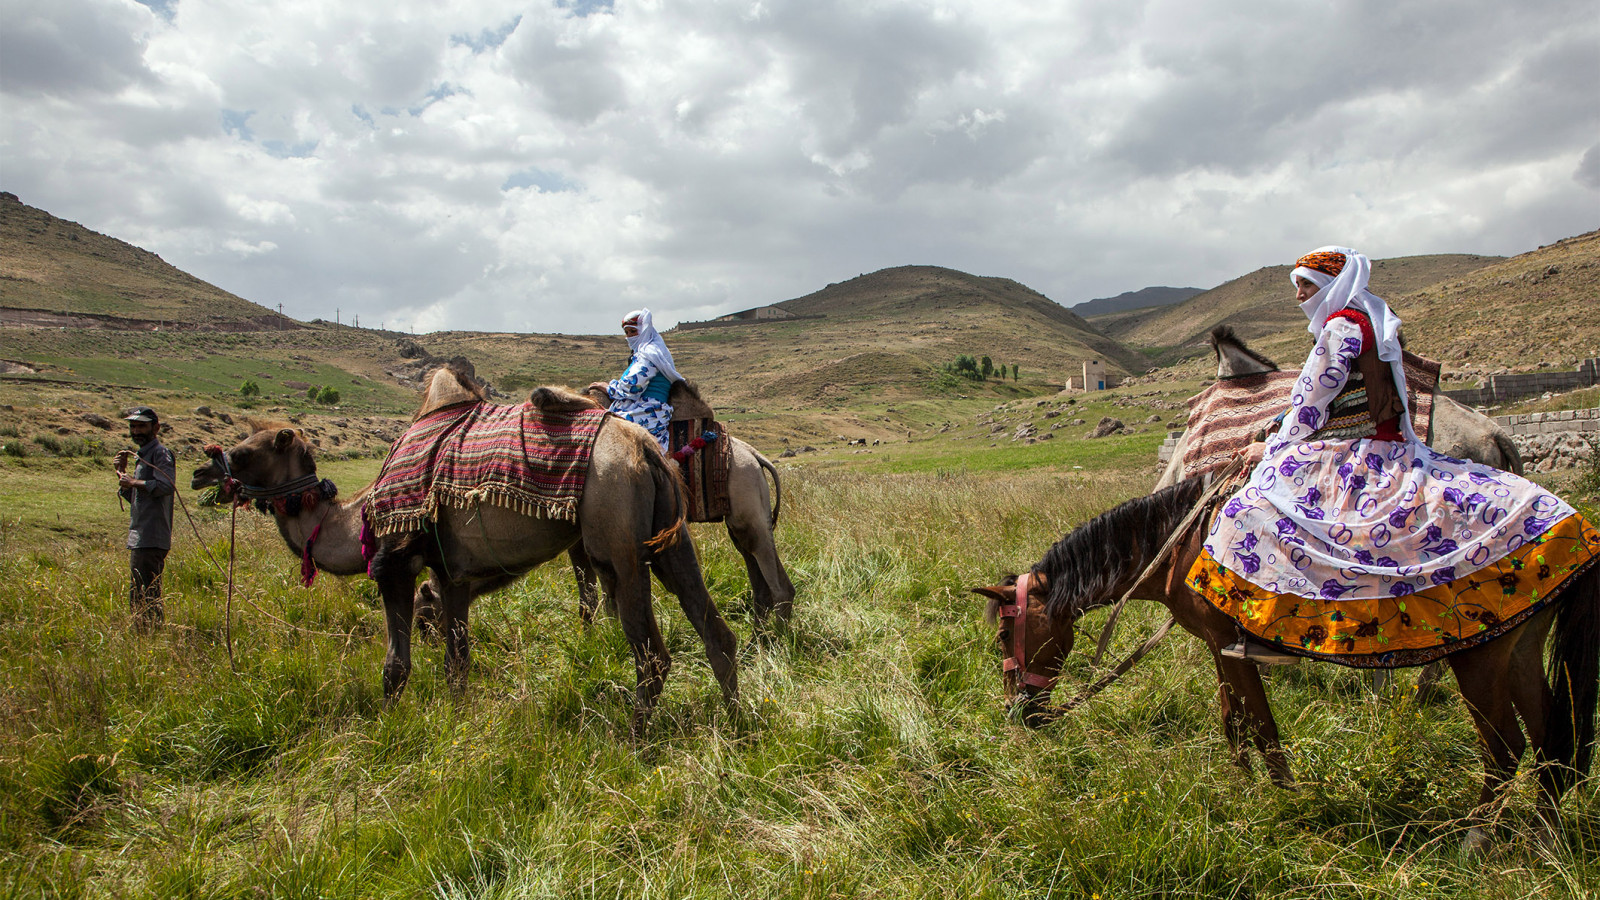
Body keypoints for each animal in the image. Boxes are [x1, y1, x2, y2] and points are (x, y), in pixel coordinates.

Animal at [192, 368, 736, 733]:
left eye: (243, 452)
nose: (200, 472)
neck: (355, 515)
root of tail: (645, 449)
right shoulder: (450, 577)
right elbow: (457, 665)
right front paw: (457, 726)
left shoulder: (395, 561)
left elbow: (395, 667)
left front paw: (386, 731)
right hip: (668, 537)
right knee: (715, 630)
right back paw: (734, 724)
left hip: (616, 542)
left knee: (652, 656)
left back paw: (633, 739)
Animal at [972, 477, 1600, 845]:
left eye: (1004, 632)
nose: (1020, 714)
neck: (1177, 545)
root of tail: (1574, 528)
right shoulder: (1220, 646)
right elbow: (1234, 720)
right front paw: (1240, 786)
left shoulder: (1229, 644)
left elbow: (1262, 724)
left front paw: (1284, 801)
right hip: (1521, 651)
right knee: (1552, 740)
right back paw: (1542, 836)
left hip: (1479, 660)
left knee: (1507, 749)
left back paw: (1477, 840)